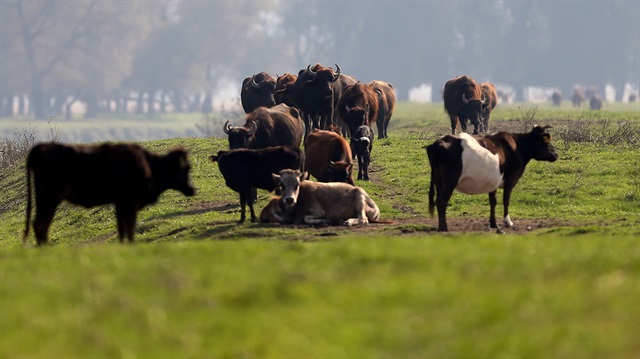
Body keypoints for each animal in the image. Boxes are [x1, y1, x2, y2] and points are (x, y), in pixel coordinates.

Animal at [22, 142, 195, 246]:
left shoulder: (120, 203)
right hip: (50, 197)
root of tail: (40, 147)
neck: (149, 164)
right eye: (186, 168)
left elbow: (122, 228)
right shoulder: (129, 201)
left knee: (40, 224)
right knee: (41, 224)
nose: (192, 189)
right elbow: (129, 226)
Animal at [424, 126, 560, 233]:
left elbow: (493, 201)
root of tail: (440, 141)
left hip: (439, 181)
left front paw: (494, 224)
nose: (556, 154)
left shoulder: (493, 182)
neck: (517, 147)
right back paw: (444, 228)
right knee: (442, 201)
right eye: (547, 142)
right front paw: (508, 222)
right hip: (450, 181)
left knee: (438, 200)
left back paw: (441, 226)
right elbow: (506, 200)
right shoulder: (511, 178)